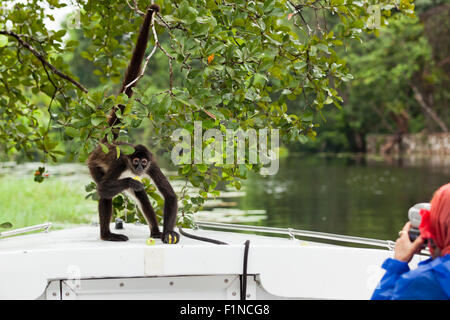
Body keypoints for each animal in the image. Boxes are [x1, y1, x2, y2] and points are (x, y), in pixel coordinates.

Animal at [87, 3, 180, 245]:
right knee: (105, 192)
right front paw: (133, 182)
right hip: (93, 164)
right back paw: (107, 235)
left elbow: (170, 195)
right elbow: (105, 188)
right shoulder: (121, 163)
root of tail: (107, 143)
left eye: (143, 162)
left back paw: (155, 231)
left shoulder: (153, 164)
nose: (138, 168)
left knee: (142, 196)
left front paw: (167, 232)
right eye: (135, 161)